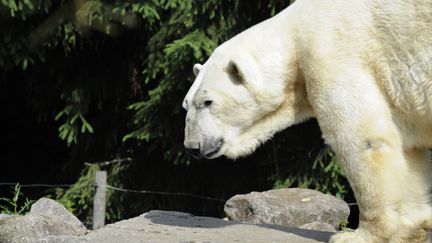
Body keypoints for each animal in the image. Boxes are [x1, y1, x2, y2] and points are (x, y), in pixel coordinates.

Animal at [184, 0, 432, 241]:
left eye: (207, 101)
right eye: (186, 105)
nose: (192, 146)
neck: (294, 35)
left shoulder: (333, 54)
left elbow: (363, 140)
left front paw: (359, 235)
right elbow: (408, 149)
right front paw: (413, 224)